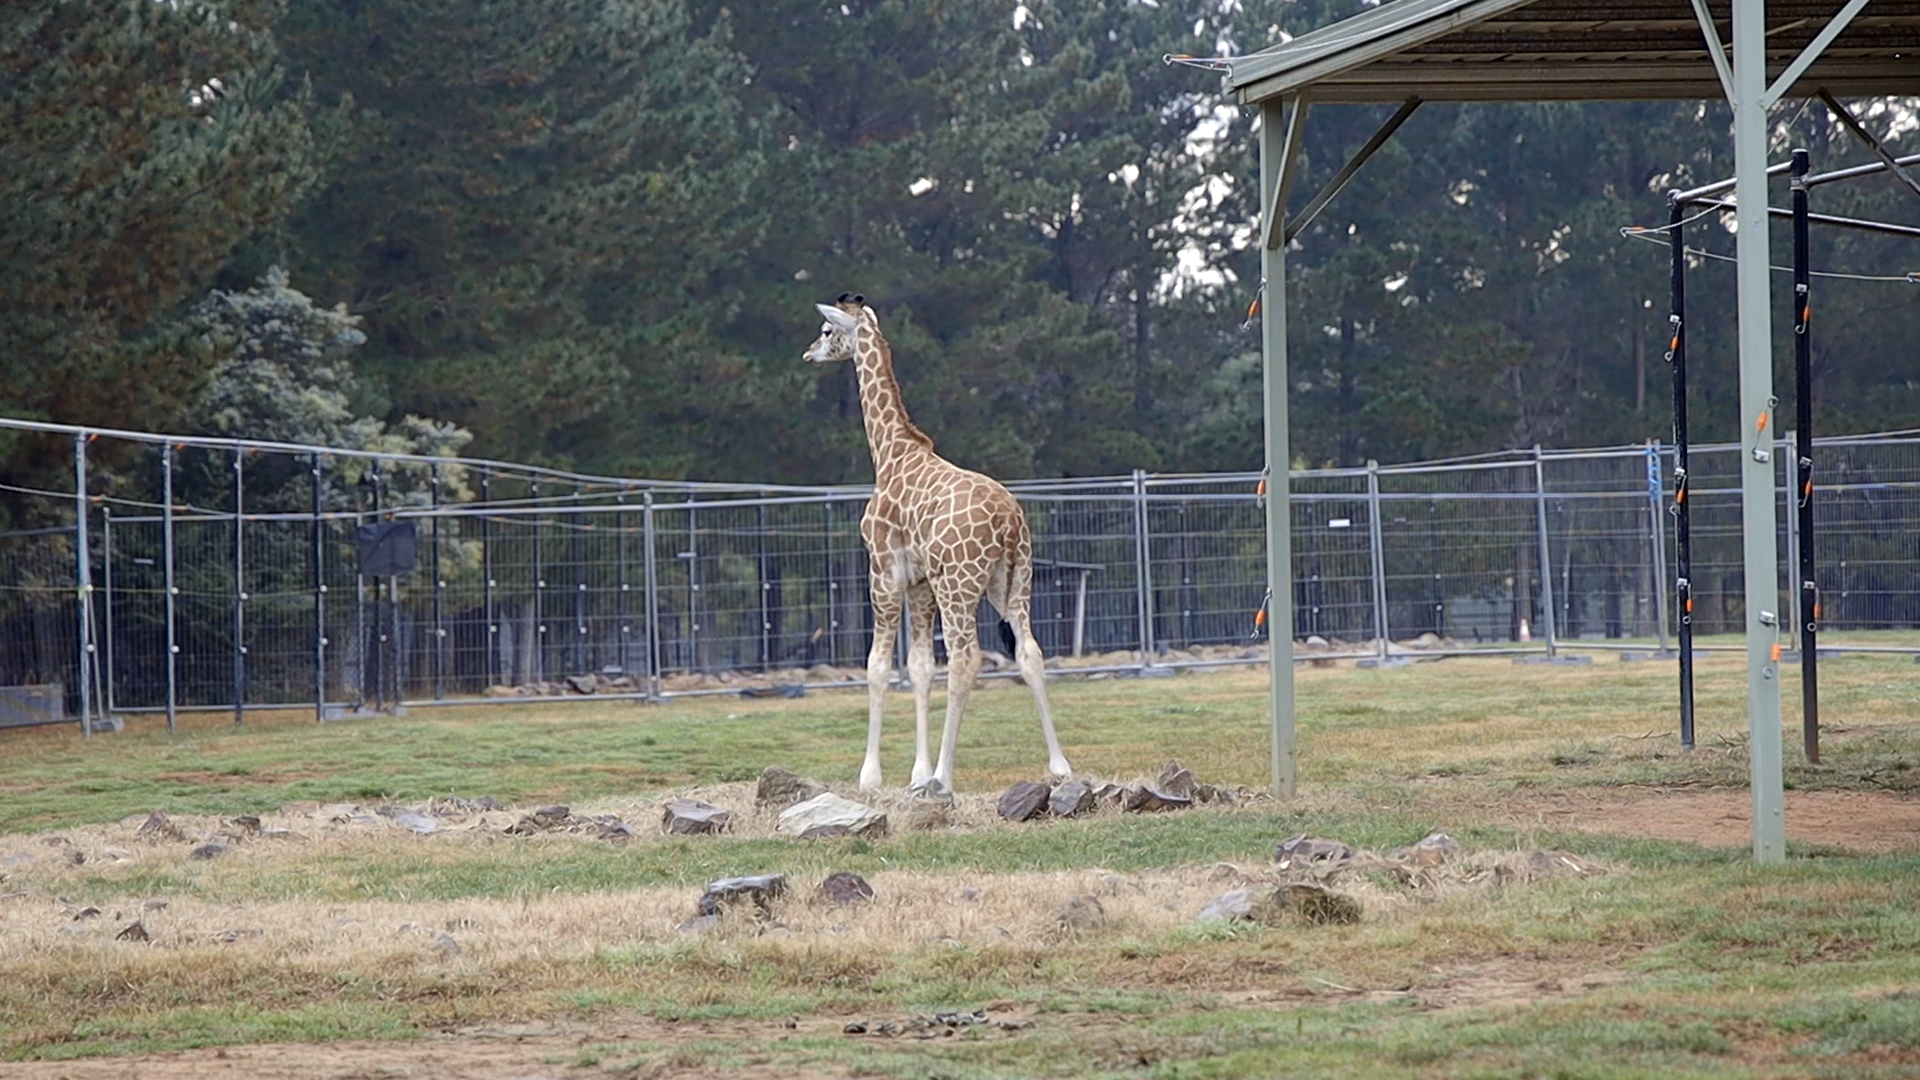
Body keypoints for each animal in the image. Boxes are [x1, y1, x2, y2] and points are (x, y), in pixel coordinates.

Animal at [803, 293, 1071, 796]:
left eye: (828, 331)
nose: (809, 352)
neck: (890, 453)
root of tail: (1009, 523)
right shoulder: (921, 584)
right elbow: (920, 667)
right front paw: (916, 773)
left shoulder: (884, 574)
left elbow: (879, 666)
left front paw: (872, 776)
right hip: (1015, 581)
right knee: (1029, 652)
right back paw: (1060, 767)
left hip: (960, 586)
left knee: (967, 659)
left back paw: (945, 778)